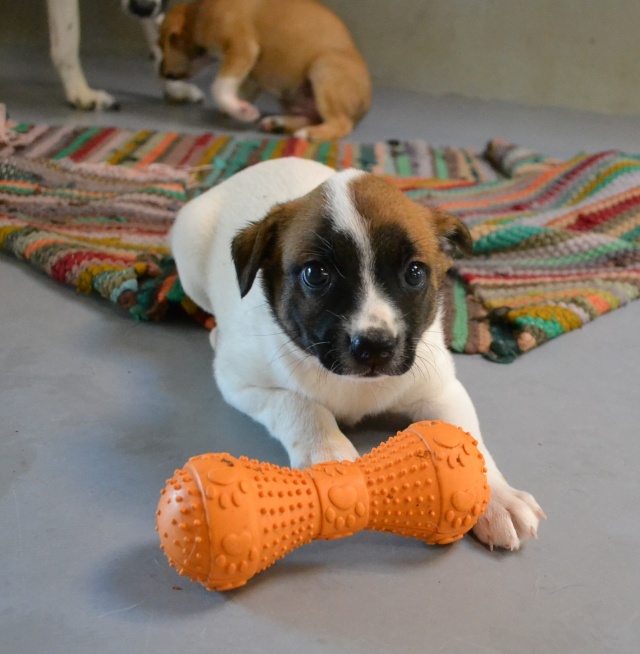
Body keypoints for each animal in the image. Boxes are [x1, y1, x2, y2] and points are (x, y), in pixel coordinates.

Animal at [158, 0, 372, 141]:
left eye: (162, 44)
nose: (162, 73)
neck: (198, 11)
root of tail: (366, 105)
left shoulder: (242, 49)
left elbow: (220, 86)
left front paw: (240, 110)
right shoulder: (251, 76)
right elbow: (237, 90)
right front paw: (236, 108)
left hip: (324, 69)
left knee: (341, 124)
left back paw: (309, 133)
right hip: (292, 97)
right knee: (311, 117)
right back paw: (279, 123)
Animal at [170, 157, 545, 550]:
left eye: (414, 273)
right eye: (316, 274)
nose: (374, 346)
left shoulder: (440, 389)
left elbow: (468, 439)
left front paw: (498, 497)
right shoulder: (240, 382)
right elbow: (299, 404)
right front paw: (328, 454)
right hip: (191, 265)